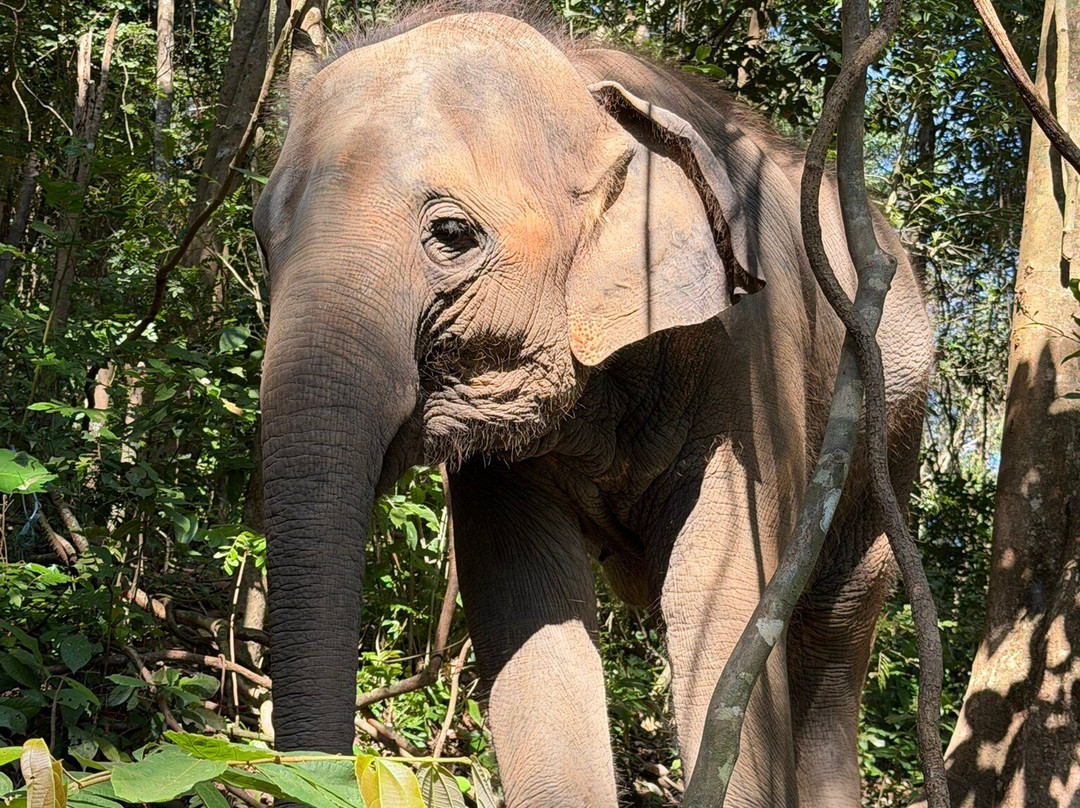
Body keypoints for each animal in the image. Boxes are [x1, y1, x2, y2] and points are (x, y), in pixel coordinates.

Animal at [253, 7, 933, 807]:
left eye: (451, 234)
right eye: (262, 237)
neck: (586, 80)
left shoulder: (754, 358)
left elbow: (723, 603)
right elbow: (528, 612)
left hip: (891, 427)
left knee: (834, 629)